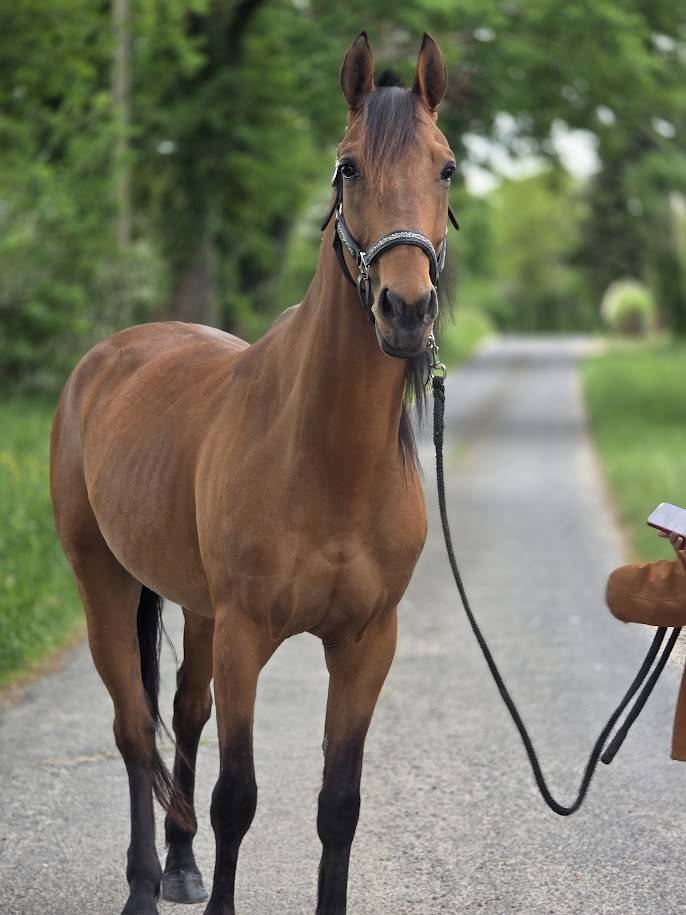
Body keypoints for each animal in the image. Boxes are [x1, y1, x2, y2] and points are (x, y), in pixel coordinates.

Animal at [50, 31, 456, 915]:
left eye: (445, 168)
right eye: (348, 167)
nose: (406, 310)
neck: (328, 461)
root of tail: (108, 357)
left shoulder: (366, 643)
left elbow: (339, 803)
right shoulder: (246, 633)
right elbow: (237, 796)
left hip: (197, 609)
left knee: (182, 712)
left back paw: (180, 867)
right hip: (104, 581)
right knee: (134, 730)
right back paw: (143, 885)